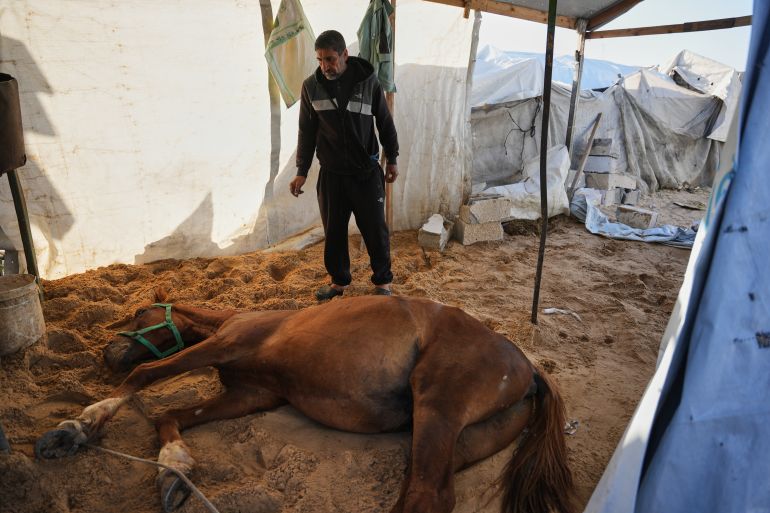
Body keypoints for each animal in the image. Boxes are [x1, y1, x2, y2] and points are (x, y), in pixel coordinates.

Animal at [35, 287, 575, 513]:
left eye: (140, 313)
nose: (105, 354)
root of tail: (529, 368)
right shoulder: (251, 393)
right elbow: (170, 416)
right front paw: (175, 469)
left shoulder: (226, 345)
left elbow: (147, 374)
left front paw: (76, 428)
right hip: (459, 439)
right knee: (424, 491)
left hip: (437, 407)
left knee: (428, 495)